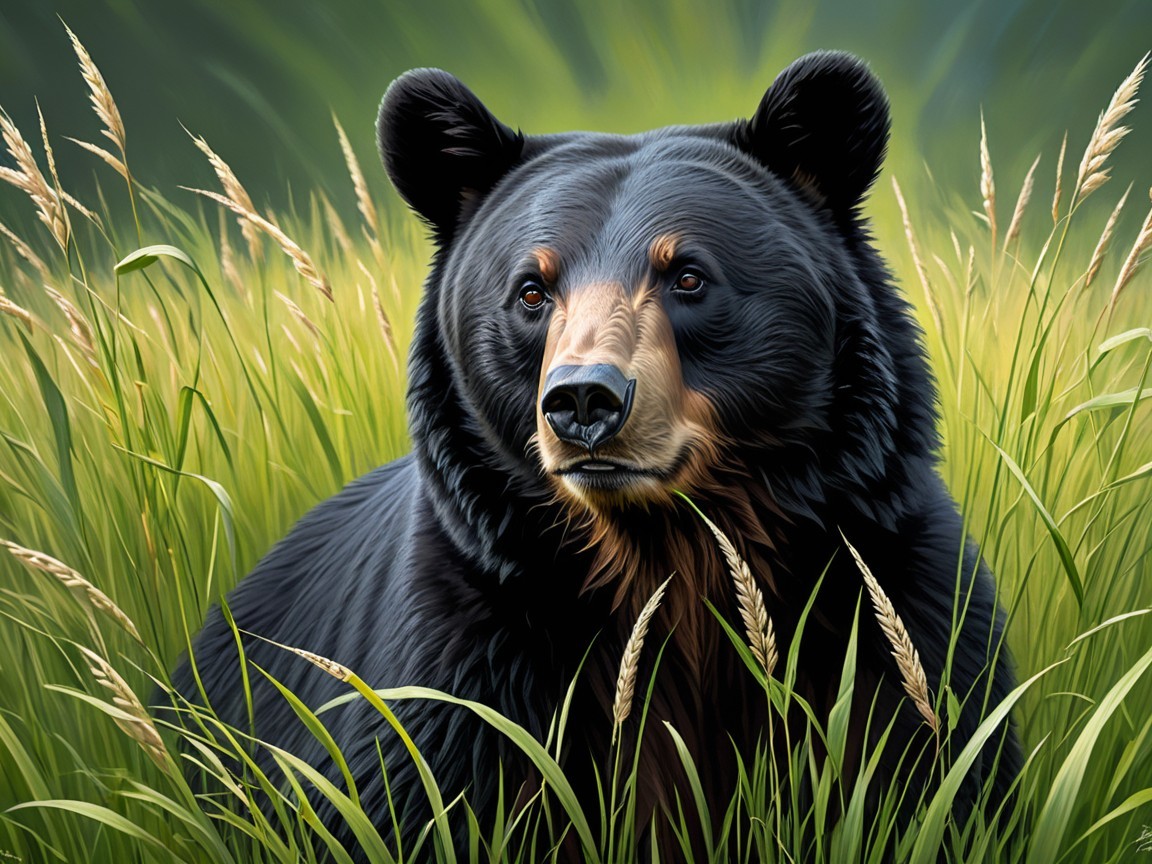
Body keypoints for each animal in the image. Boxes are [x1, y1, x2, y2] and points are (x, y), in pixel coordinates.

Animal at [174, 51, 1021, 860]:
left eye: (688, 275)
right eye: (531, 290)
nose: (584, 399)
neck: (666, 555)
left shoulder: (894, 610)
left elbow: (944, 767)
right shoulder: (468, 660)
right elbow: (414, 792)